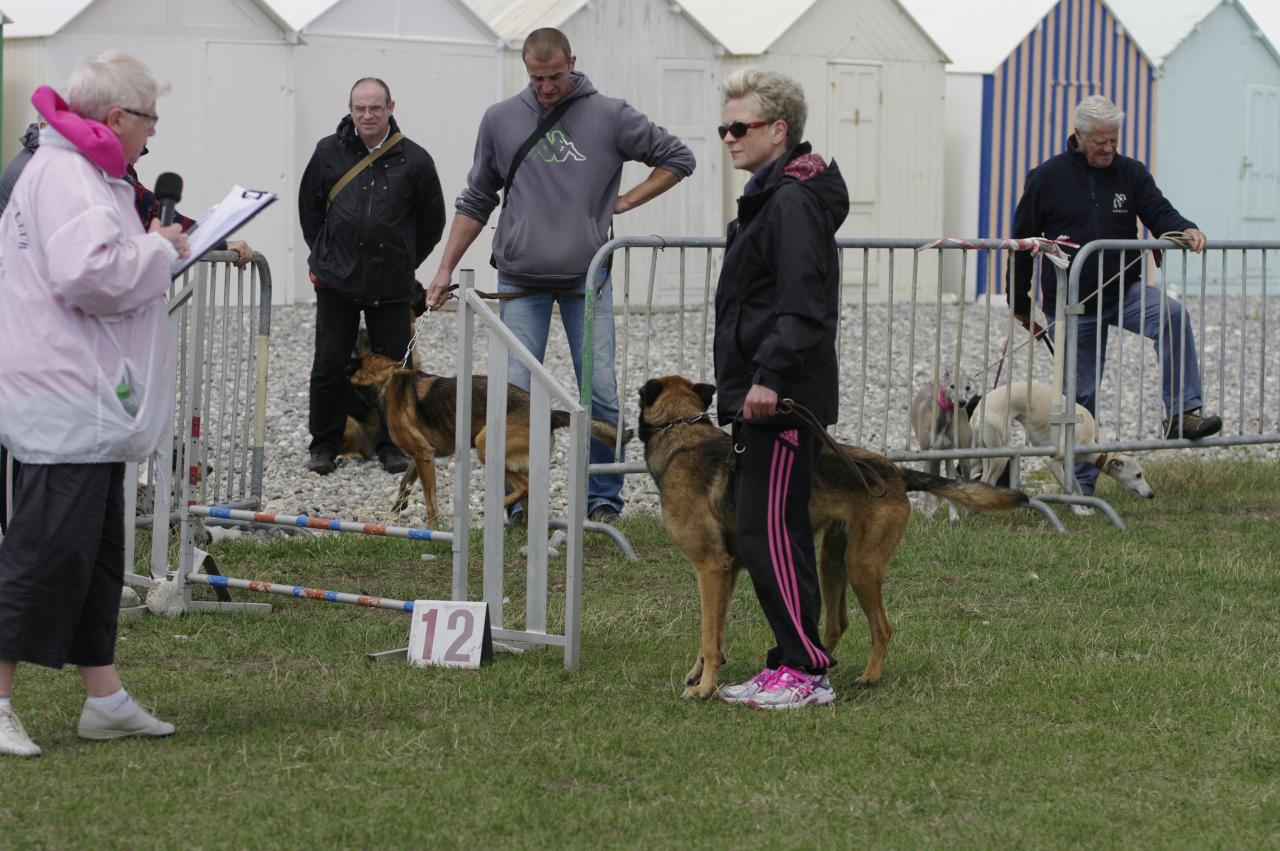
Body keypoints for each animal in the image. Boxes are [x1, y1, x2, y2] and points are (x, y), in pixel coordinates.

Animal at [350, 353, 629, 524]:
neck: (387, 380)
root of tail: (549, 414)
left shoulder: (422, 454)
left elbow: (430, 498)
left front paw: (433, 525)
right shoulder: (422, 456)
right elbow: (405, 482)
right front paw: (397, 509)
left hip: (485, 445)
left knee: (524, 487)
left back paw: (496, 507)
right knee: (529, 496)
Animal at [640, 376, 1029, 696]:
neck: (679, 433)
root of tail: (896, 472)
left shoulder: (710, 568)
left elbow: (708, 635)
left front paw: (703, 688)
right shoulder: (728, 572)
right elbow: (714, 633)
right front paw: (700, 674)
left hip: (861, 566)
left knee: (882, 627)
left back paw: (869, 677)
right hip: (831, 560)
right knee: (836, 623)